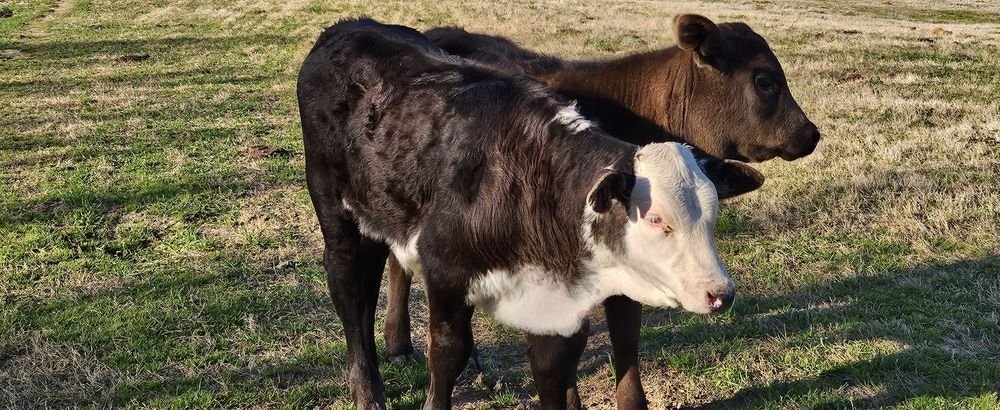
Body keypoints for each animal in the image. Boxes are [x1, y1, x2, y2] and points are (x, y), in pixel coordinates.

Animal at [297, 18, 764, 409]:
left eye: (712, 214)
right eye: (656, 219)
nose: (721, 293)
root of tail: (348, 27)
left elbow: (553, 364)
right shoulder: (444, 266)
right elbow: (447, 351)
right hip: (333, 210)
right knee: (349, 288)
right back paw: (368, 393)